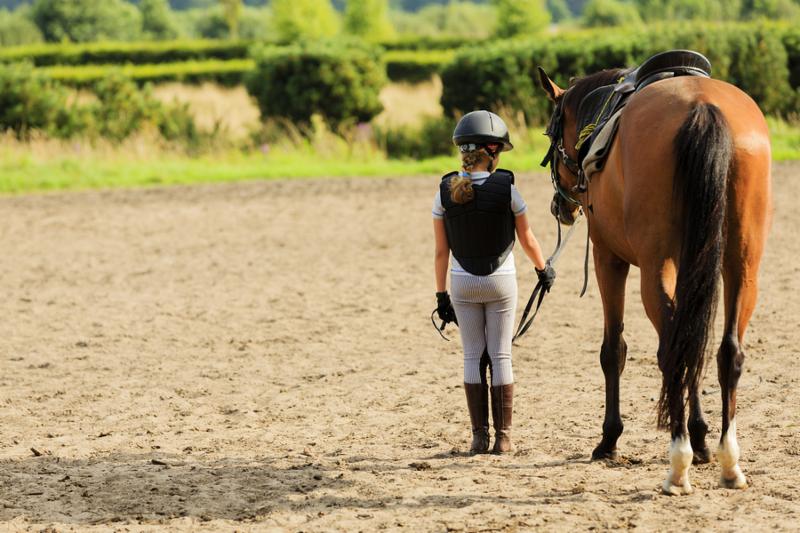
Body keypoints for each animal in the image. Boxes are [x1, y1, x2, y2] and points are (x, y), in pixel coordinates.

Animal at [537, 62, 772, 494]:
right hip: (743, 265)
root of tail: (702, 106)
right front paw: (701, 439)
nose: (560, 205)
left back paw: (677, 466)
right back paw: (728, 462)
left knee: (672, 352)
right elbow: (693, 344)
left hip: (653, 267)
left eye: (550, 133)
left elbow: (614, 350)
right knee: (725, 351)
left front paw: (609, 440)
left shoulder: (607, 258)